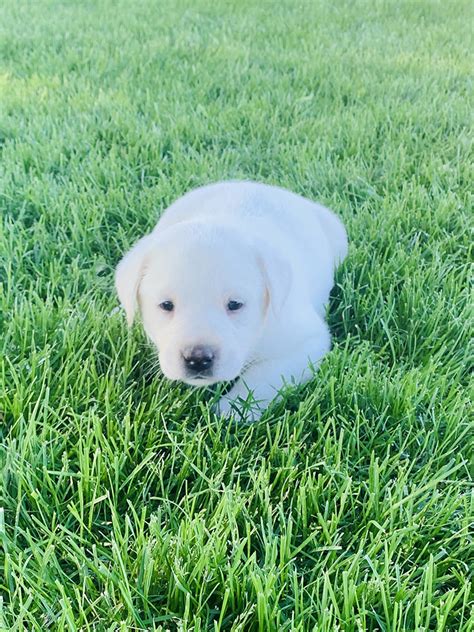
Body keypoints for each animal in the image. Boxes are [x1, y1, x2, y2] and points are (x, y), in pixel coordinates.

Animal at [115, 180, 348, 418]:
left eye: (235, 304)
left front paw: (233, 409)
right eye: (166, 305)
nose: (197, 359)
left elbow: (263, 376)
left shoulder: (305, 343)